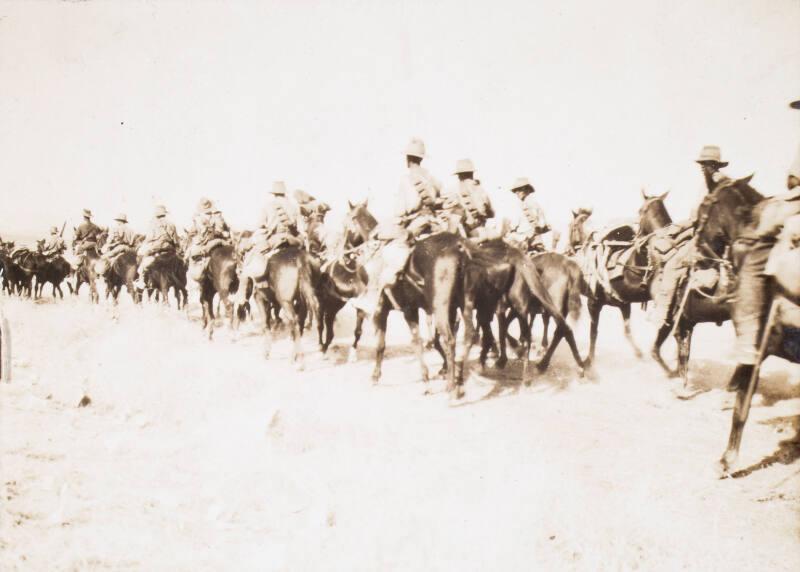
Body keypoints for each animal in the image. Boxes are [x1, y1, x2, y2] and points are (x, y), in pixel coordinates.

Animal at [648, 175, 764, 384]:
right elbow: (682, 354)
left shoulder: (675, 320)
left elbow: (676, 354)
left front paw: (679, 381)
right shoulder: (687, 322)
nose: (700, 253)